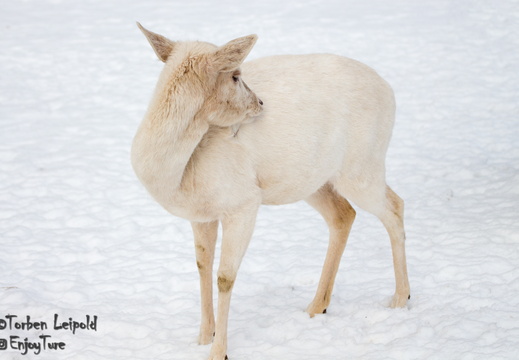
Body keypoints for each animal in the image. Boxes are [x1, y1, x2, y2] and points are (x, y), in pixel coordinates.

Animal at [130, 23, 410, 360]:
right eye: (235, 75)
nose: (260, 103)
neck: (175, 174)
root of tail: (390, 90)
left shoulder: (243, 203)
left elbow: (225, 276)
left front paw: (219, 351)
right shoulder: (201, 215)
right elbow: (202, 266)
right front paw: (202, 338)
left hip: (361, 167)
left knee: (394, 205)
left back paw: (400, 299)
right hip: (312, 180)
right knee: (343, 214)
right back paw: (317, 307)